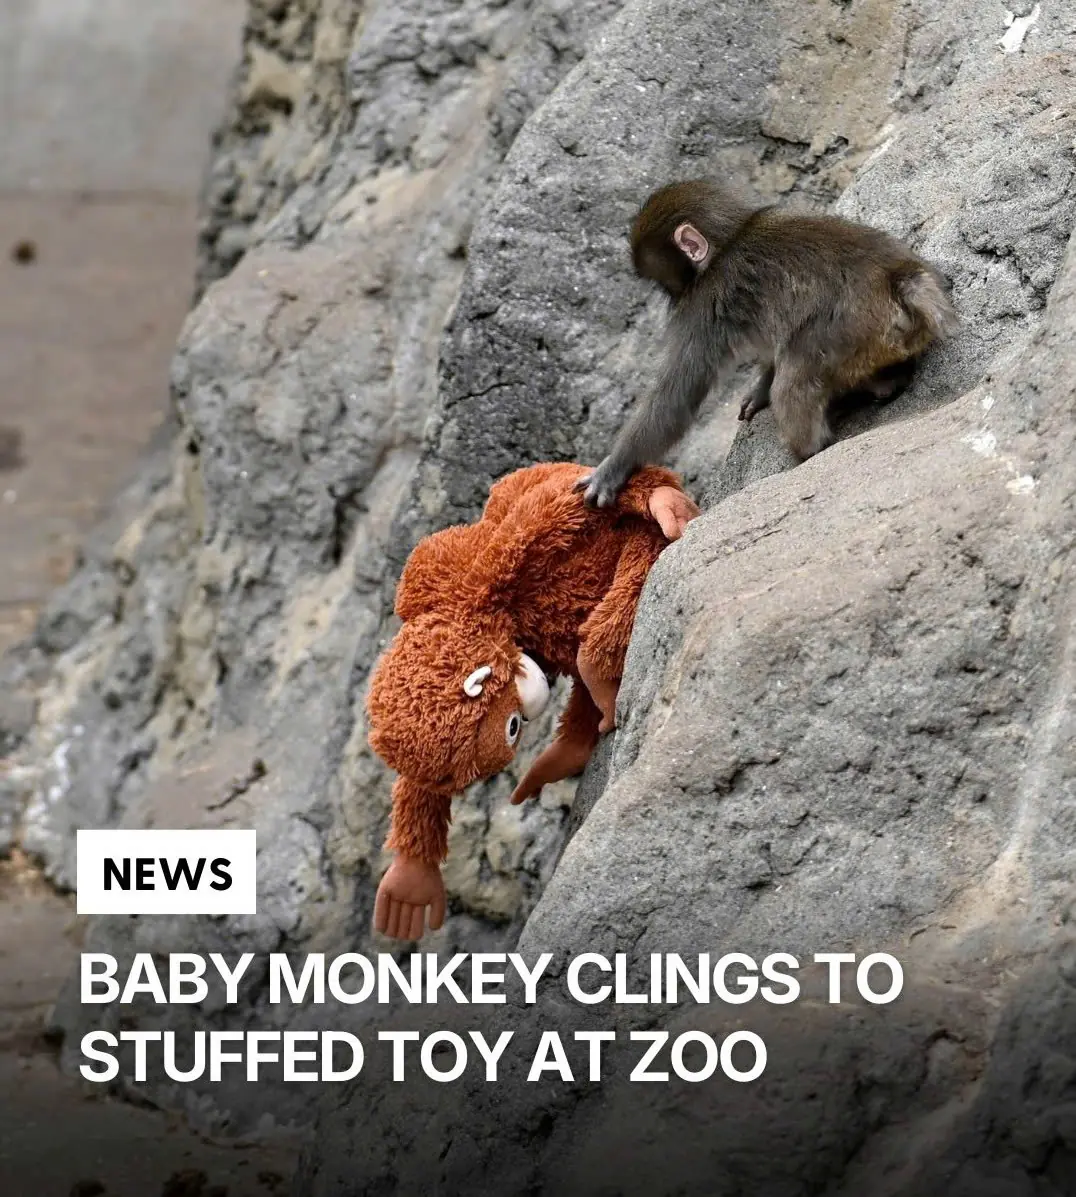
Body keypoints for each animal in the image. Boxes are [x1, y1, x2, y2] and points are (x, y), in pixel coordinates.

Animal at [577, 178, 958, 508]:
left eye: (666, 284)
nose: (671, 300)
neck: (731, 238)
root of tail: (900, 280)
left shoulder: (702, 305)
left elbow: (677, 394)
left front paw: (613, 467)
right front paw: (759, 389)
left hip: (844, 334)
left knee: (792, 385)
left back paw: (809, 448)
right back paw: (886, 382)